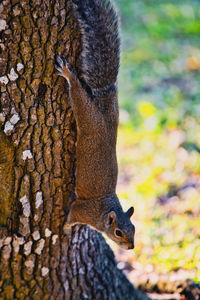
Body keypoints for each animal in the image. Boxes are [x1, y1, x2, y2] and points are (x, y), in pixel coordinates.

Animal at [55, 0, 135, 248]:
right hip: (87, 114)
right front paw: (65, 229)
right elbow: (71, 216)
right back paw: (68, 74)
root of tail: (105, 96)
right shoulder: (83, 210)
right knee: (78, 92)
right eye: (118, 232)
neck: (105, 211)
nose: (131, 247)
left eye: (134, 229)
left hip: (112, 109)